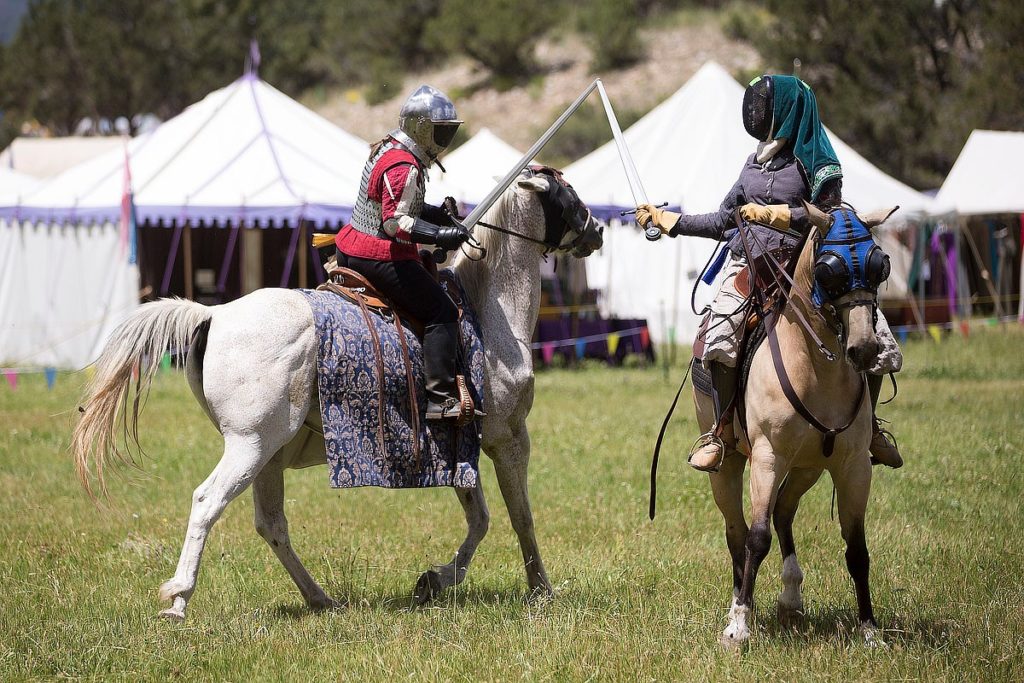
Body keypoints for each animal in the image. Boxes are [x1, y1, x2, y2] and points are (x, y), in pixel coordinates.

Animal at [72, 169, 602, 618]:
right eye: (568, 193)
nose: (596, 229)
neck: (487, 309)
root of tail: (214, 314)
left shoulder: (456, 447)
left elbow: (480, 519)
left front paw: (434, 580)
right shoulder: (508, 439)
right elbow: (518, 517)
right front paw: (540, 589)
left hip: (267, 455)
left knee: (271, 525)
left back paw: (320, 598)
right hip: (250, 445)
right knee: (208, 502)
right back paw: (179, 600)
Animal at [700, 209, 892, 651]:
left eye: (880, 265)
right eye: (829, 271)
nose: (864, 349)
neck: (816, 368)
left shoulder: (853, 467)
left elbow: (857, 548)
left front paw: (870, 630)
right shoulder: (768, 458)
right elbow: (756, 538)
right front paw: (738, 628)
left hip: (809, 467)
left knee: (784, 511)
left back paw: (790, 598)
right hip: (730, 466)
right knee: (737, 531)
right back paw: (738, 604)